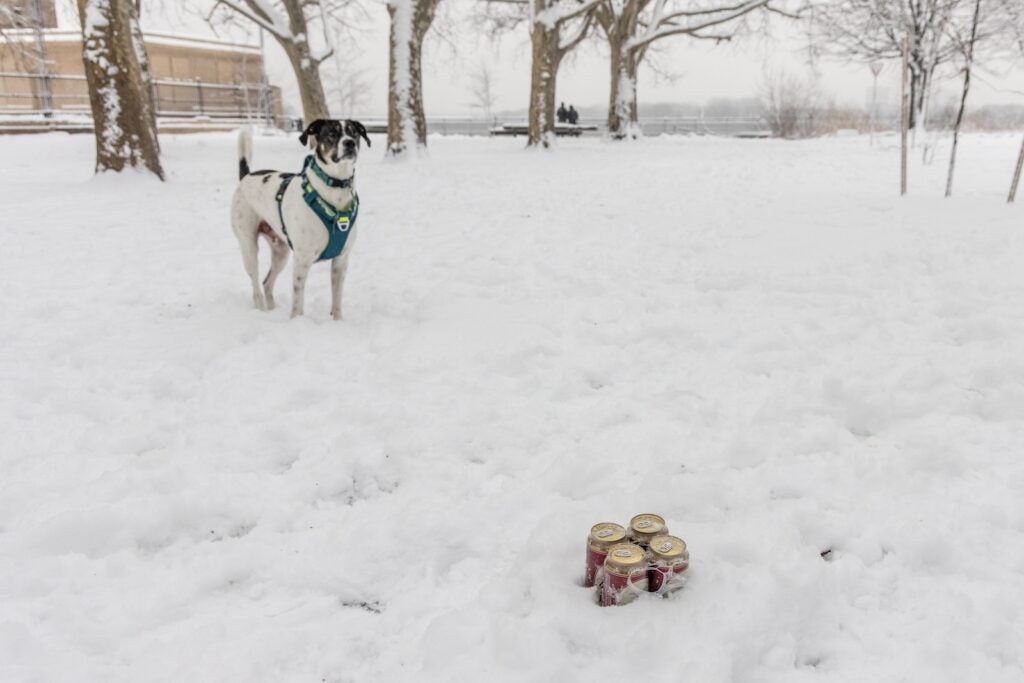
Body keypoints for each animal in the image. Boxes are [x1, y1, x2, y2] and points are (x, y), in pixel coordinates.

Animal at [230, 118, 370, 321]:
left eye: (354, 133)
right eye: (332, 133)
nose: (349, 143)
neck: (335, 190)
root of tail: (246, 177)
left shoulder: (341, 261)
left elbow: (337, 299)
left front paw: (337, 322)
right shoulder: (302, 259)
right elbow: (297, 302)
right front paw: (296, 322)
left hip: (281, 252)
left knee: (267, 283)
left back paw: (272, 309)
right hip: (248, 247)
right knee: (256, 287)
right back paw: (262, 312)